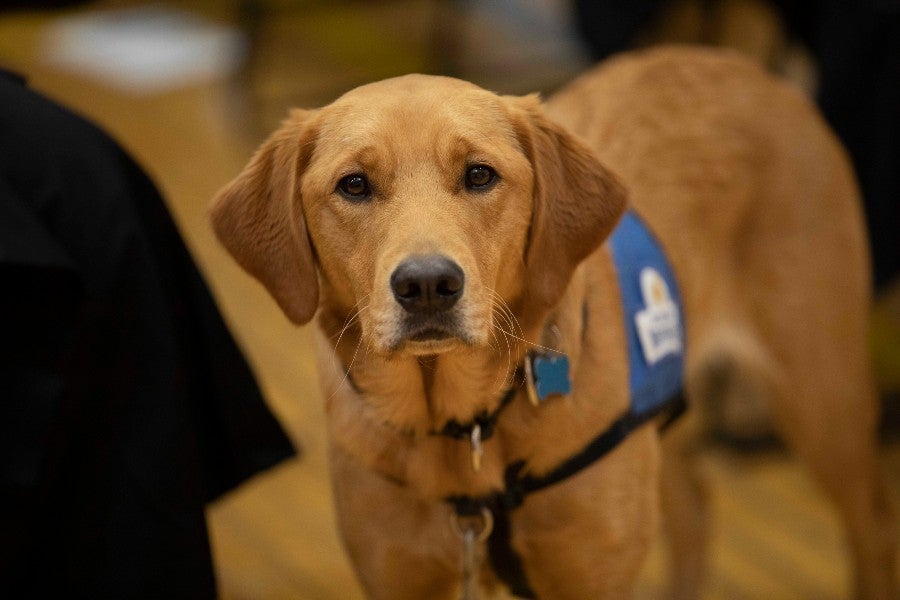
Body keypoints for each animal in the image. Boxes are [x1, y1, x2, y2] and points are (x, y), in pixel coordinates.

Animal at [209, 48, 892, 600]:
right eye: (353, 185)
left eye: (479, 174)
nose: (427, 285)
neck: (466, 429)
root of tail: (751, 70)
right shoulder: (399, 579)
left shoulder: (591, 578)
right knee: (697, 511)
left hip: (823, 401)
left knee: (872, 532)